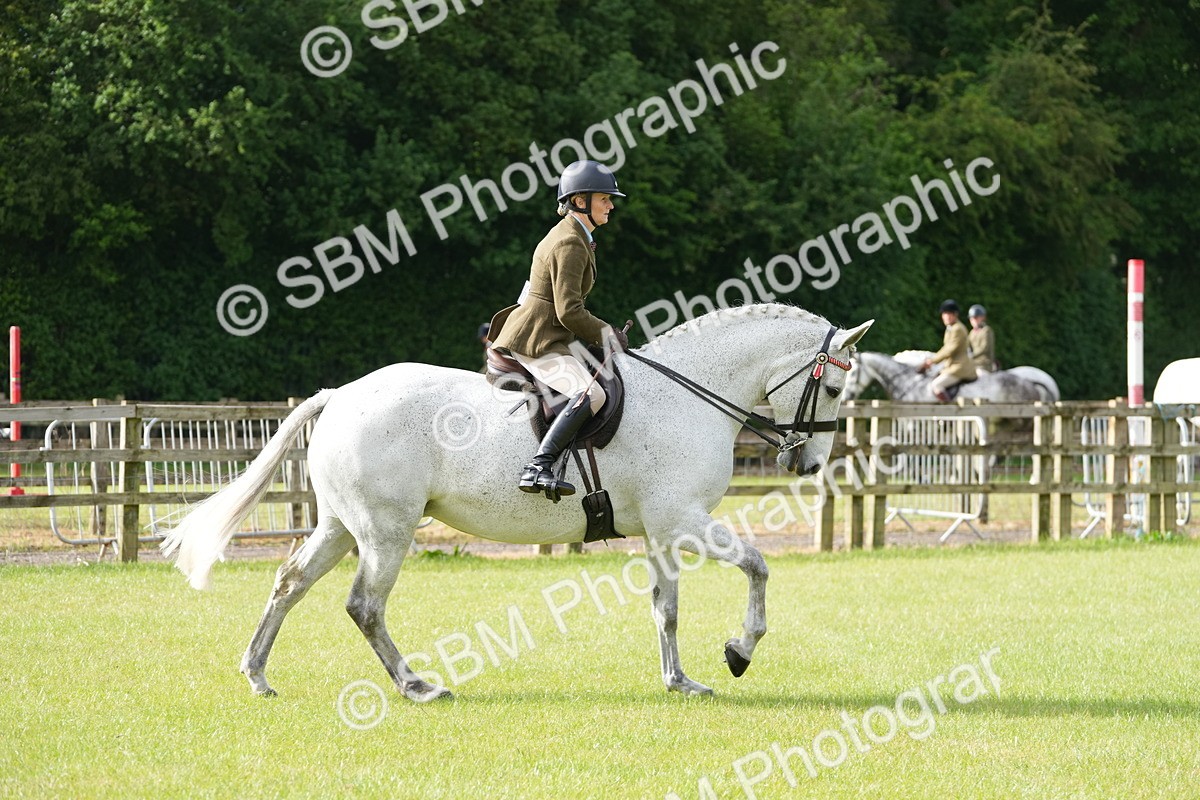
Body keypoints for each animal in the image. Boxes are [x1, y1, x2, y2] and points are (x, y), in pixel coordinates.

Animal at [161, 304, 874, 701]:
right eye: (836, 387)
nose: (809, 463)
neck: (691, 394)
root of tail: (340, 394)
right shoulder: (686, 521)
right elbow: (758, 566)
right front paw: (739, 651)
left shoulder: (663, 531)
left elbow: (665, 608)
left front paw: (681, 682)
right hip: (385, 530)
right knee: (364, 605)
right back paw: (417, 687)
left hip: (341, 526)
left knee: (290, 582)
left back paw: (257, 675)